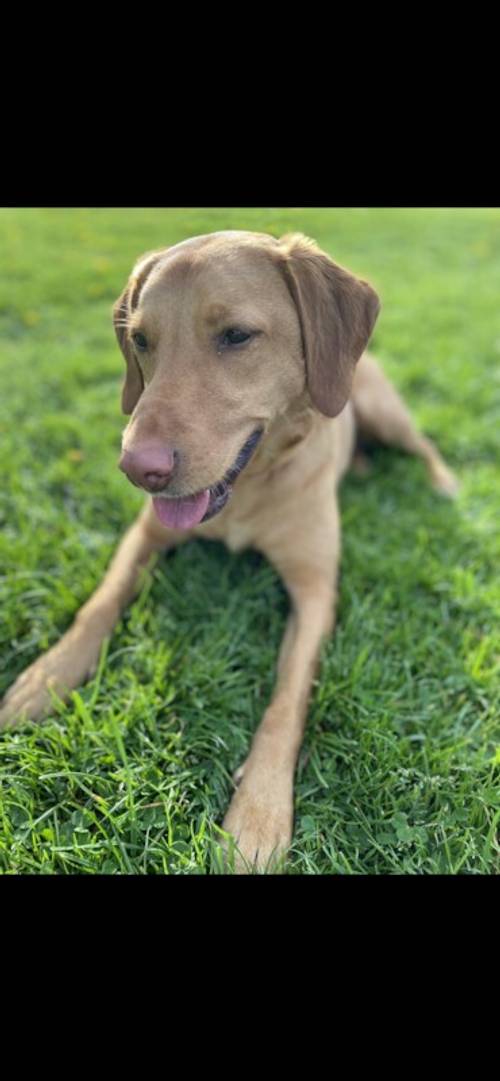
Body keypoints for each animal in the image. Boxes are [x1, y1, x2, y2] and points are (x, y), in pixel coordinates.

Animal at [0, 230, 457, 869]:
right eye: (140, 340)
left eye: (237, 336)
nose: (137, 469)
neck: (249, 490)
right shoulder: (144, 536)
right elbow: (99, 605)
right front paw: (44, 678)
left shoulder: (316, 590)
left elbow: (287, 700)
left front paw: (258, 815)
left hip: (386, 410)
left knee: (424, 446)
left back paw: (444, 486)